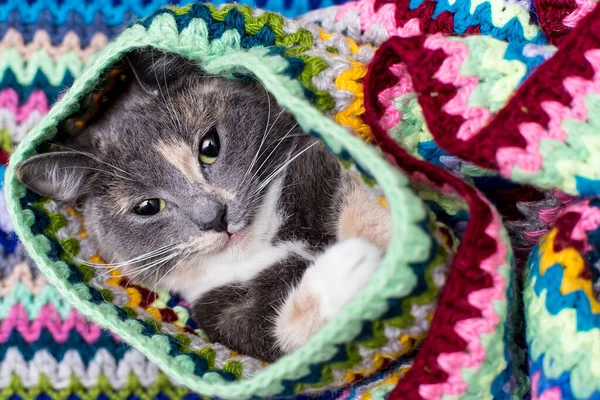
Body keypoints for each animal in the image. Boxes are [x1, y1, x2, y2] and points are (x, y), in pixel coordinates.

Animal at [16, 50, 392, 362]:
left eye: (209, 146)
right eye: (147, 206)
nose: (215, 217)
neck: (266, 243)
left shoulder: (316, 161)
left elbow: (360, 197)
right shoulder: (223, 313)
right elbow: (286, 336)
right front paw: (348, 268)